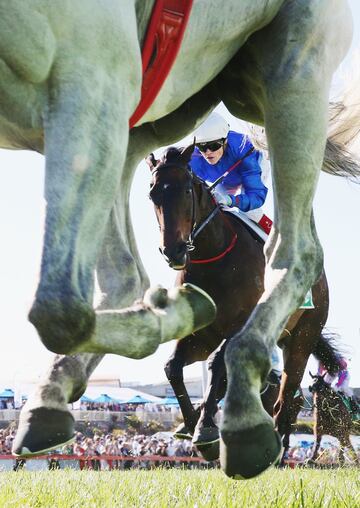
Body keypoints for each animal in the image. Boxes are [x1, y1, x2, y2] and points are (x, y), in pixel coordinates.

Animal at [146, 144, 344, 460]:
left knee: (285, 399)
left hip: (303, 337)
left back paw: (275, 447)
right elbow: (172, 367)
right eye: (153, 194)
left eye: (187, 191)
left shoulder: (242, 323)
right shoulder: (202, 334)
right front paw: (192, 424)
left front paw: (206, 430)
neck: (214, 257)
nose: (173, 251)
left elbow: (218, 364)